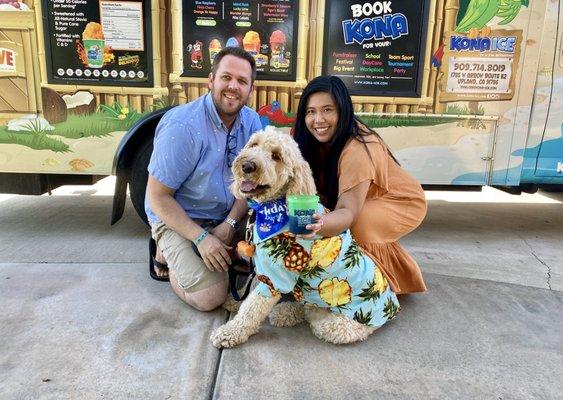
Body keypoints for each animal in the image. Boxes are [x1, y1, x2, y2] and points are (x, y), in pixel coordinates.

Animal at [209, 126, 398, 348]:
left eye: (276, 156)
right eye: (254, 144)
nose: (247, 165)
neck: (273, 208)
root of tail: (392, 306)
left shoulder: (276, 273)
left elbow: (253, 307)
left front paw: (230, 332)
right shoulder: (265, 267)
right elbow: (253, 286)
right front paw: (236, 300)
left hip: (340, 324)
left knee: (315, 318)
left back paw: (286, 312)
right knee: (309, 308)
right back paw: (287, 311)